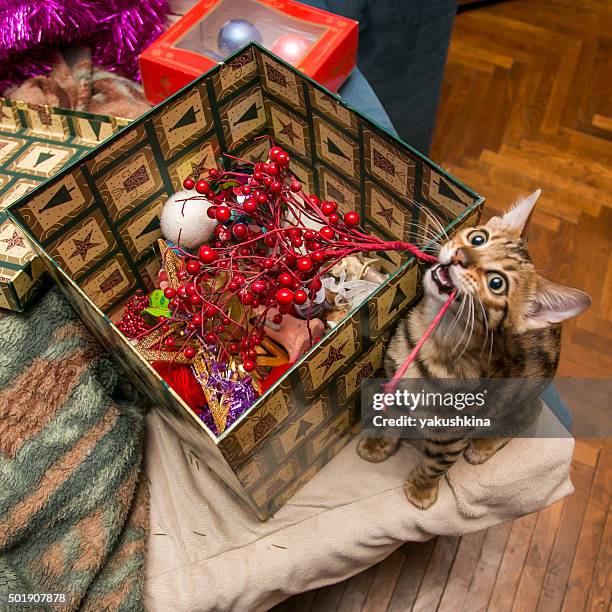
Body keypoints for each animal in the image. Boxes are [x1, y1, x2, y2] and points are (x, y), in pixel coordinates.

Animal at [356, 190, 592, 506]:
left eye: (496, 283)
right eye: (478, 239)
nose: (461, 255)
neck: (432, 339)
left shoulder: (453, 436)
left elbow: (435, 465)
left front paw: (421, 489)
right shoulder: (393, 386)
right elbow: (389, 421)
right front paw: (378, 444)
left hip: (519, 399)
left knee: (529, 414)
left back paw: (483, 445)